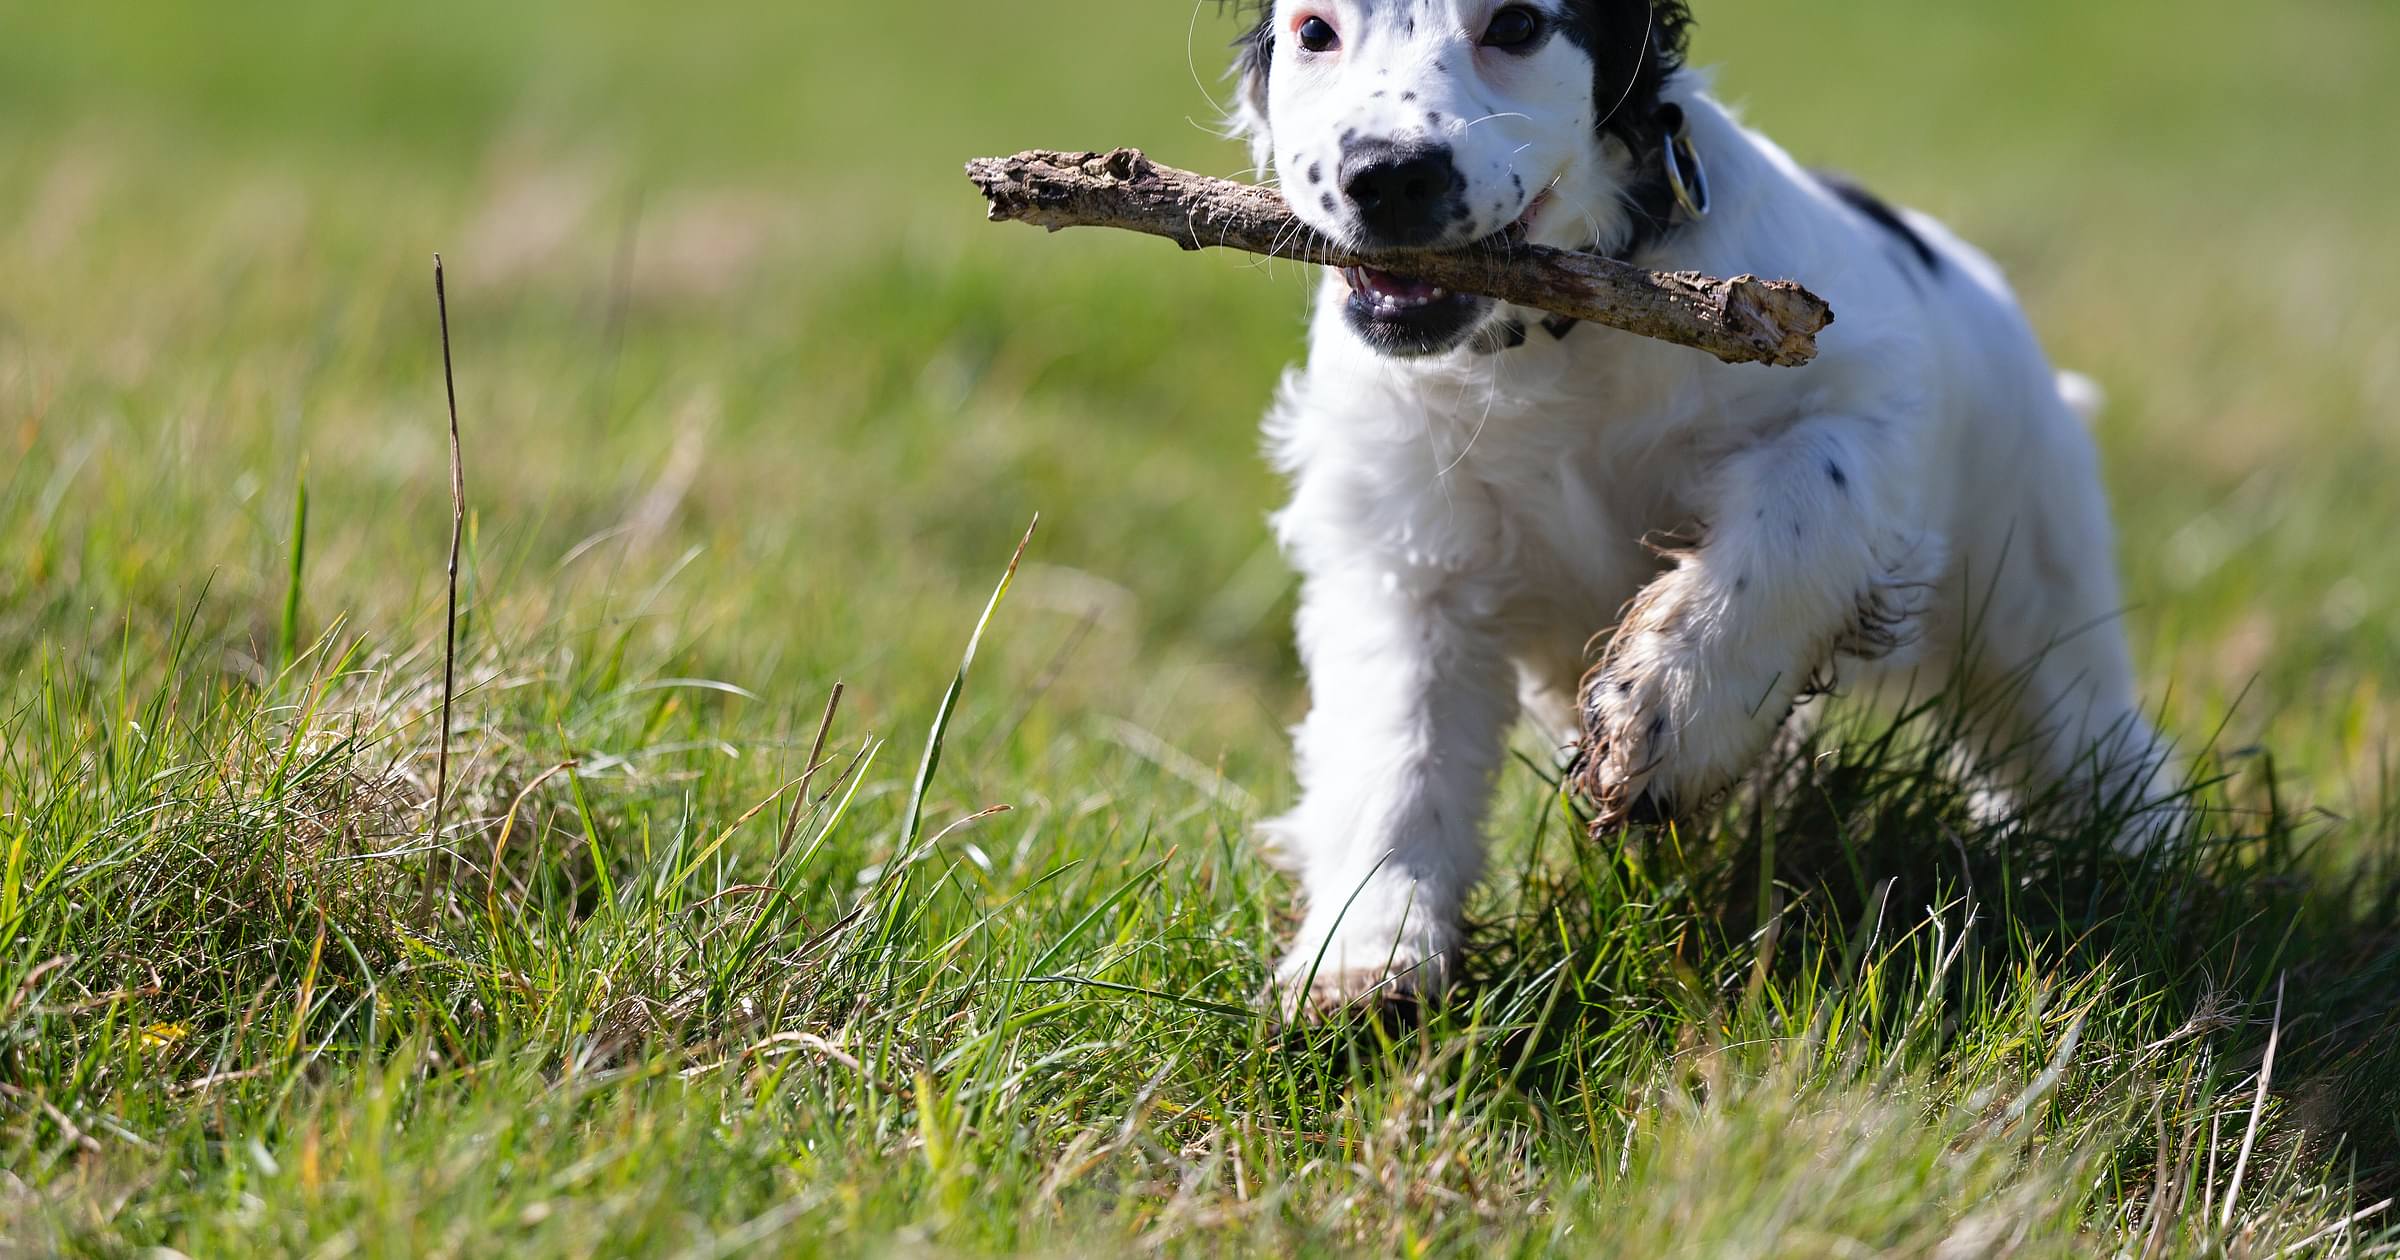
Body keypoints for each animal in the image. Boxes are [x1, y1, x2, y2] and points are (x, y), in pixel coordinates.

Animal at [1228, 0, 2188, 1017]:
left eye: (1519, 25)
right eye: (1315, 32)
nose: (1388, 177)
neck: (1556, 338)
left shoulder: (1868, 397)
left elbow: (1796, 514)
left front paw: (1668, 717)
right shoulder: (1401, 552)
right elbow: (1397, 749)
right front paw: (1367, 963)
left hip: (2033, 596)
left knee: (2084, 739)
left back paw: (2144, 875)